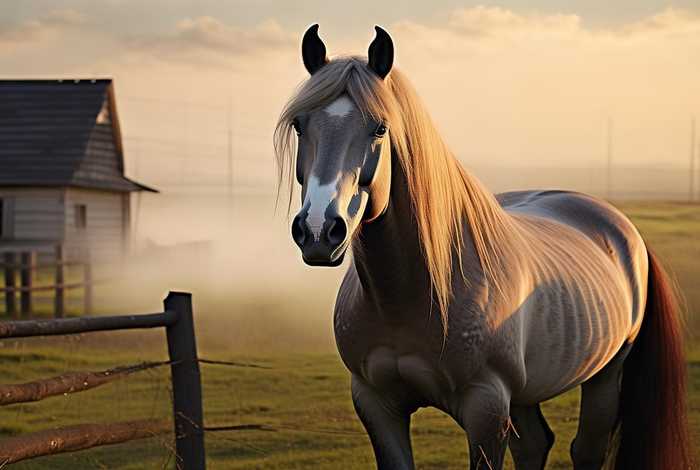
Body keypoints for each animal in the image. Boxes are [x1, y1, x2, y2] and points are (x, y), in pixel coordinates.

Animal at [273, 24, 692, 470]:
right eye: (299, 125)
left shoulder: (486, 411)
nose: (319, 230)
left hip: (605, 376)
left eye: (380, 128)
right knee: (535, 445)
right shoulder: (376, 404)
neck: (414, 294)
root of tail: (623, 231)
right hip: (525, 395)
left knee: (586, 449)